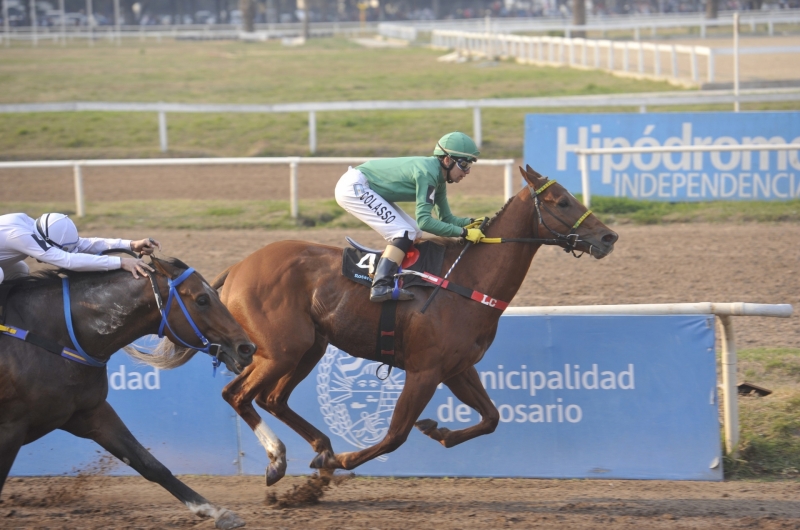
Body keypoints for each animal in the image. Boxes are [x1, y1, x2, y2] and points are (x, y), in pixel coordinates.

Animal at [0, 255, 256, 524]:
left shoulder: (90, 413)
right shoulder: (10, 427)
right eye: (202, 299)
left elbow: (149, 464)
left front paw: (217, 511)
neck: (54, 336)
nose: (247, 348)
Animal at [214, 165, 620, 482]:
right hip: (283, 349)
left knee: (272, 398)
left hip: (310, 346)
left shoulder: (458, 368)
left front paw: (437, 430)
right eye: (563, 201)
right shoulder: (424, 370)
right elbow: (396, 434)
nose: (609, 236)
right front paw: (346, 458)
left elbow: (491, 417)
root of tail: (237, 267)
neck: (467, 280)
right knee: (238, 394)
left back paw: (321, 448)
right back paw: (280, 461)